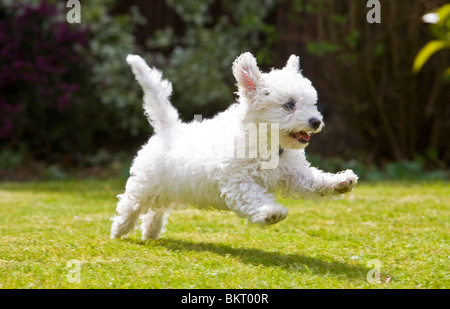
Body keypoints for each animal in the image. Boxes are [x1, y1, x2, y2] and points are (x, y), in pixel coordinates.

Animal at [110, 51, 356, 239]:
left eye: (312, 103)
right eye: (289, 104)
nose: (316, 121)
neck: (266, 142)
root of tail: (169, 129)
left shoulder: (292, 174)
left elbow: (314, 181)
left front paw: (340, 182)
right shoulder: (237, 182)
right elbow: (254, 196)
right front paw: (270, 212)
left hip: (172, 188)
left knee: (156, 209)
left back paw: (151, 231)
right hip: (146, 185)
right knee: (130, 204)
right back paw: (120, 229)